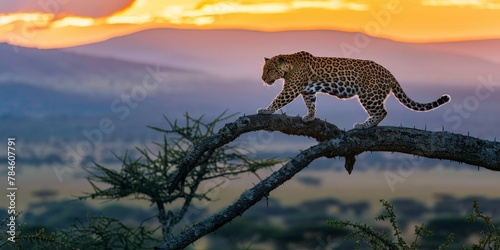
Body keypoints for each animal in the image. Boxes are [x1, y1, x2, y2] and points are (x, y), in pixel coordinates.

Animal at [258, 50, 450, 129]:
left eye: (269, 69)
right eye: (264, 69)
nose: (263, 79)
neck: (289, 66)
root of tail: (388, 72)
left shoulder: (291, 88)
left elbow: (278, 99)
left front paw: (265, 110)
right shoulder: (308, 90)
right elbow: (311, 103)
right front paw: (310, 117)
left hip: (369, 95)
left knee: (382, 112)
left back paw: (363, 125)